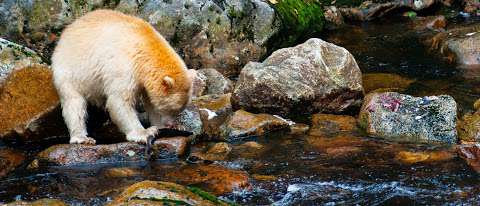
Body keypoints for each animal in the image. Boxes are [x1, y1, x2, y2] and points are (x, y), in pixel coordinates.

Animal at [51, 10, 194, 145]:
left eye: (180, 109)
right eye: (172, 109)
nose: (170, 123)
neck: (144, 44)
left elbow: (150, 101)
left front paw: (170, 126)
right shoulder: (124, 65)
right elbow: (120, 100)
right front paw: (145, 133)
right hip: (69, 71)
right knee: (74, 103)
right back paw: (82, 137)